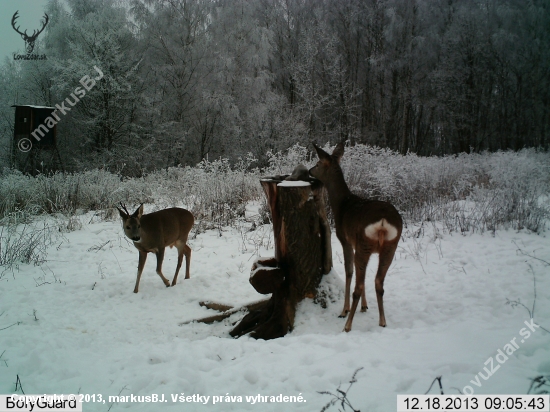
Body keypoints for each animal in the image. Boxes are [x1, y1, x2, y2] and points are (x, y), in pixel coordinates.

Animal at [310, 142, 406, 332]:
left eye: (317, 163)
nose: (309, 171)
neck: (341, 204)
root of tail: (382, 222)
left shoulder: (345, 240)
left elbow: (349, 272)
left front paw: (345, 309)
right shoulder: (356, 244)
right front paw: (365, 306)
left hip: (364, 244)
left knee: (359, 285)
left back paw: (347, 324)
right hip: (390, 246)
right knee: (378, 282)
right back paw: (382, 321)